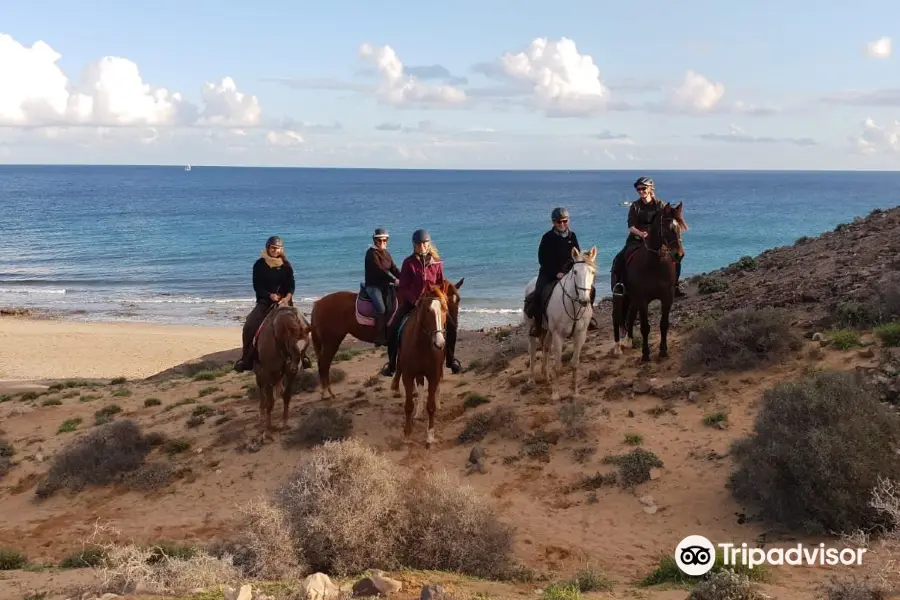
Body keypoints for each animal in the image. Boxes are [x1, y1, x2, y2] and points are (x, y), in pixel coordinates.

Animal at [388, 278, 458, 448]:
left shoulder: (433, 374)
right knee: (419, 388)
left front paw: (430, 436)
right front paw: (407, 434)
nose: (440, 343)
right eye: (427, 310)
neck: (421, 345)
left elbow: (431, 406)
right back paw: (418, 412)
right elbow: (408, 405)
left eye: (444, 309)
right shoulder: (408, 375)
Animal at [524, 246, 596, 400]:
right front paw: (556, 394)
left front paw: (574, 392)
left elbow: (574, 364)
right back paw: (531, 380)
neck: (573, 306)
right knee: (532, 352)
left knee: (545, 347)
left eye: (592, 272)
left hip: (548, 330)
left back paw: (546, 376)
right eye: (575, 272)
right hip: (532, 329)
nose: (584, 301)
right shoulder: (558, 335)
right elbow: (557, 366)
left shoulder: (580, 335)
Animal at [612, 203, 688, 360]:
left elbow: (664, 324)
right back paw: (617, 348)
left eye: (679, 227)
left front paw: (663, 351)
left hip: (632, 298)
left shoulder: (667, 298)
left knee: (630, 315)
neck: (654, 265)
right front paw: (645, 355)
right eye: (667, 228)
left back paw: (629, 341)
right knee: (616, 318)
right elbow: (645, 328)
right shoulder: (643, 300)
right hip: (619, 297)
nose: (679, 254)